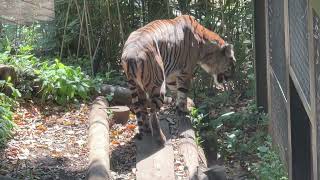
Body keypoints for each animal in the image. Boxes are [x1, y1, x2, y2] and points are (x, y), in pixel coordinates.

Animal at [121, 15, 236, 145]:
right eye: (232, 62)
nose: (233, 76)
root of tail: (130, 55)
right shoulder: (185, 73)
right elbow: (183, 93)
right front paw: (184, 110)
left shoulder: (171, 75)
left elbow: (176, 90)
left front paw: (180, 107)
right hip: (158, 86)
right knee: (152, 110)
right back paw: (160, 138)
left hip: (136, 87)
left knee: (140, 107)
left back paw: (145, 130)